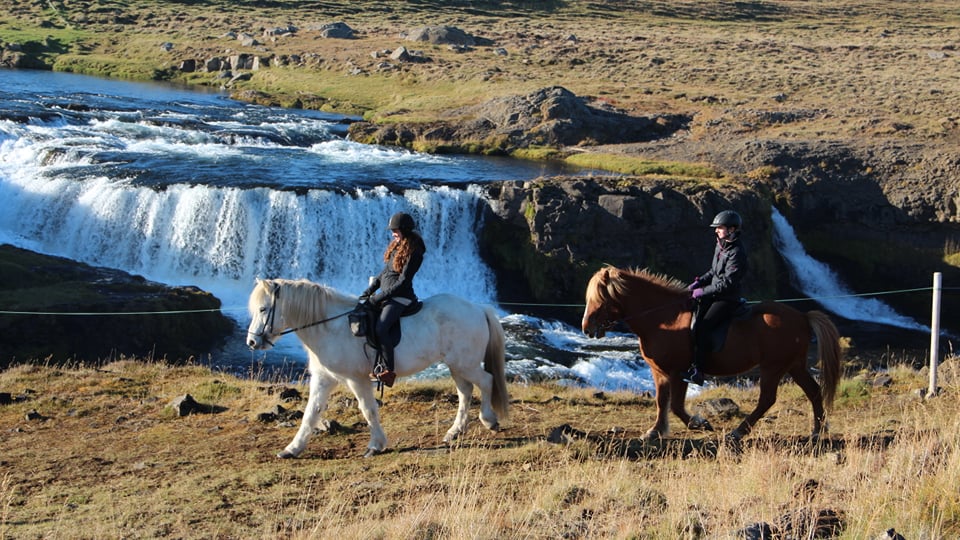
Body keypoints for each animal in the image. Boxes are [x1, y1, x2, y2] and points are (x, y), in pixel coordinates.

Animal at [246, 278, 509, 458]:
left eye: (263, 309)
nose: (251, 342)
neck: (331, 327)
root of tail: (477, 308)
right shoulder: (324, 378)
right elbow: (311, 412)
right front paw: (292, 449)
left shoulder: (356, 379)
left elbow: (368, 409)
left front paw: (375, 445)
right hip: (457, 365)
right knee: (465, 392)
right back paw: (455, 432)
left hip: (465, 363)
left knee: (485, 381)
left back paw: (489, 420)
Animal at [581, 266, 841, 443]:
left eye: (600, 298)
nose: (586, 328)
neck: (664, 319)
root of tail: (802, 317)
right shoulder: (659, 372)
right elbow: (662, 402)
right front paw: (655, 431)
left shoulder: (678, 372)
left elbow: (675, 405)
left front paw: (700, 423)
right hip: (793, 365)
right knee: (814, 392)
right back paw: (817, 431)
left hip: (773, 367)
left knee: (767, 399)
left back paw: (738, 431)